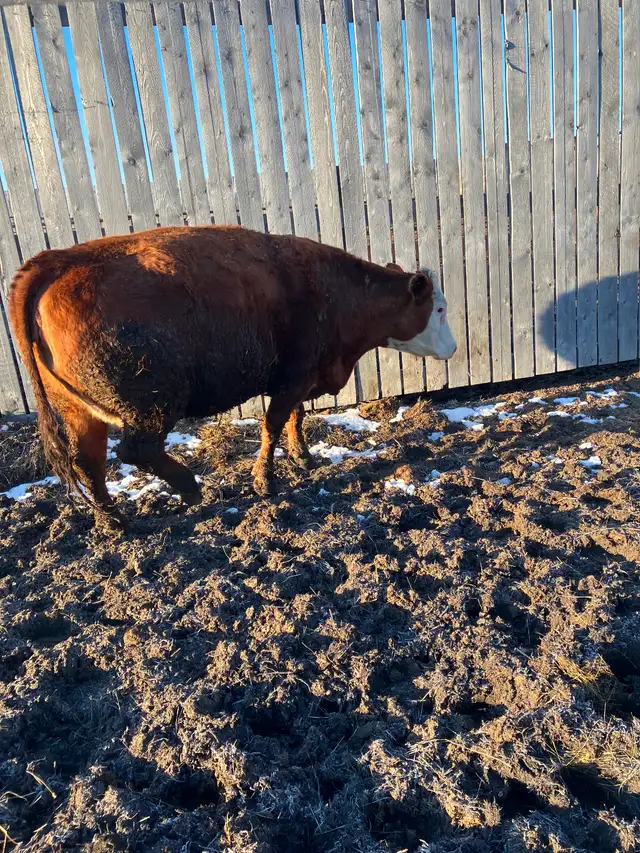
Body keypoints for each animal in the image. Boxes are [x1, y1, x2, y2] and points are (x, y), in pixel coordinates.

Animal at [9, 226, 456, 528]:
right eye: (438, 309)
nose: (453, 348)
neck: (332, 291)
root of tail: (57, 260)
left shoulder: (302, 375)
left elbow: (295, 418)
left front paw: (302, 457)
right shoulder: (293, 375)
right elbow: (273, 424)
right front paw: (264, 480)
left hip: (78, 409)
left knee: (89, 461)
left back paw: (115, 522)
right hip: (151, 402)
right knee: (135, 450)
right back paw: (187, 485)